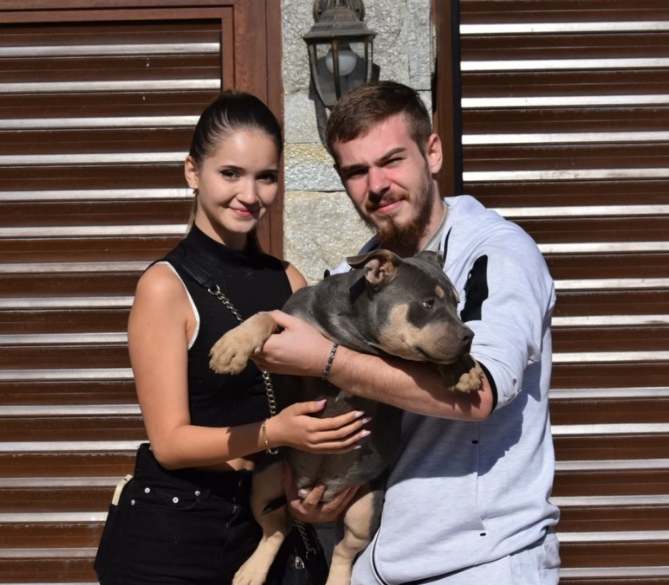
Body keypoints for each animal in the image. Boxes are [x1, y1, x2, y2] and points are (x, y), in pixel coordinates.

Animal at [209, 249, 483, 585]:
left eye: (457, 304)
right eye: (428, 303)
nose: (469, 335)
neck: (356, 335)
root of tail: (316, 490)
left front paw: (464, 368)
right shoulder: (288, 333)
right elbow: (266, 315)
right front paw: (233, 346)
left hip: (365, 508)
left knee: (342, 550)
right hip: (265, 477)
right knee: (274, 528)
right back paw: (252, 570)